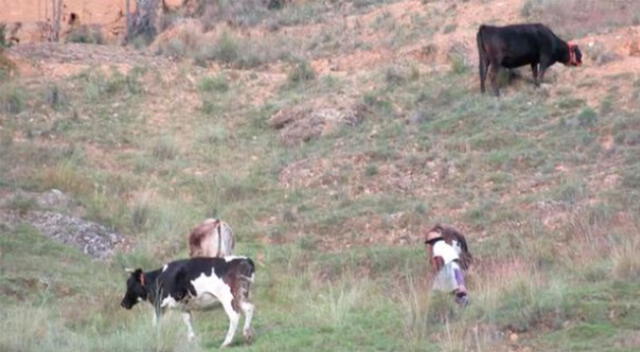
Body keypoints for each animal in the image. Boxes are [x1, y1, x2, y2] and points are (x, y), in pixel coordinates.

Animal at [121, 254, 256, 348]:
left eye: (130, 284)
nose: (123, 303)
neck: (158, 279)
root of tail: (244, 260)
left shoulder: (161, 305)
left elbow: (155, 322)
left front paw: (154, 337)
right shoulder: (184, 306)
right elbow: (187, 320)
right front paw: (192, 339)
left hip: (227, 298)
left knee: (234, 316)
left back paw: (226, 342)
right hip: (240, 296)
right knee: (249, 308)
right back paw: (247, 334)